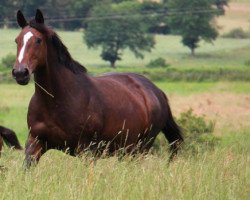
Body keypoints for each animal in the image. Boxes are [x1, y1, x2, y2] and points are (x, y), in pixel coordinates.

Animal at [12, 9, 184, 167]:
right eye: (17, 40)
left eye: (38, 40)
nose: (20, 73)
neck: (57, 100)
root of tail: (157, 92)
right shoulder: (35, 143)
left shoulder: (87, 150)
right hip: (125, 150)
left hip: (140, 148)